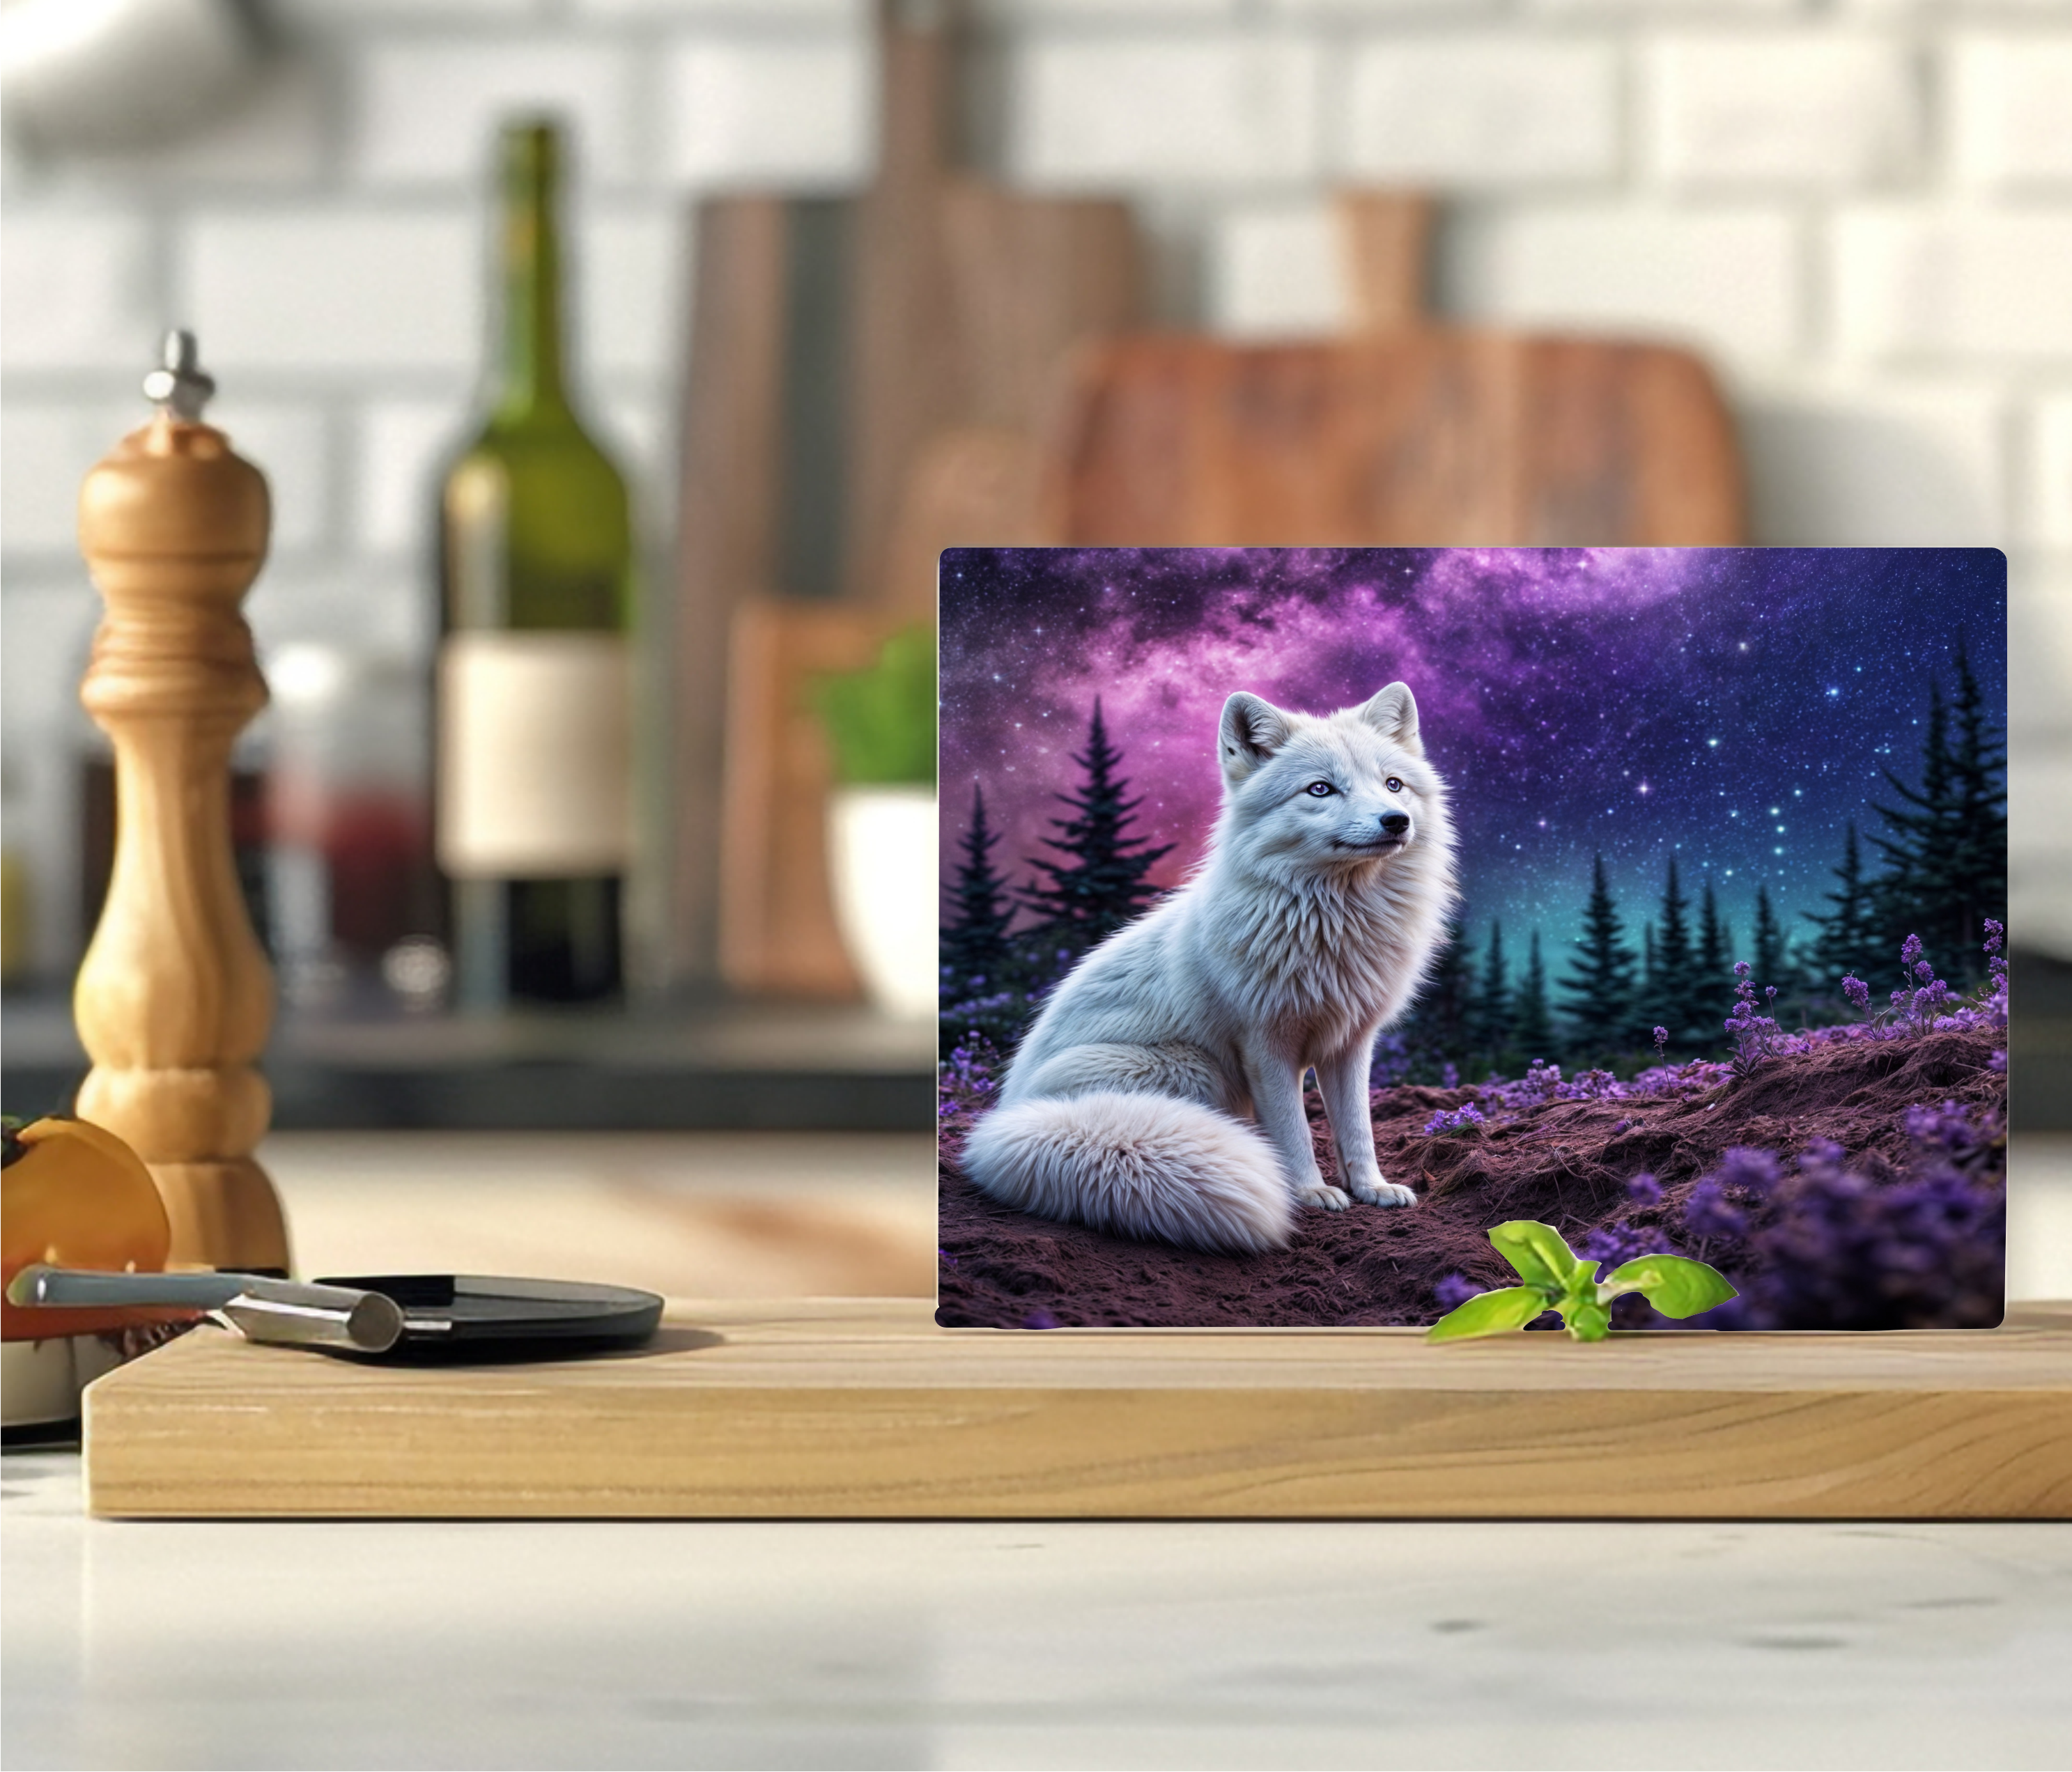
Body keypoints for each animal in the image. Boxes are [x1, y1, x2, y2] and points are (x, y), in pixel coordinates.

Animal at [961, 682, 1458, 1254]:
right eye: (1320, 790)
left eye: (1393, 784)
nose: (1395, 820)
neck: (1332, 924)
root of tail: (1003, 1121)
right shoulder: (1265, 1045)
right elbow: (1294, 1130)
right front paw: (1310, 1193)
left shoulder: (1351, 1041)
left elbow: (1358, 1127)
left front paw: (1371, 1188)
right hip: (1196, 1068)